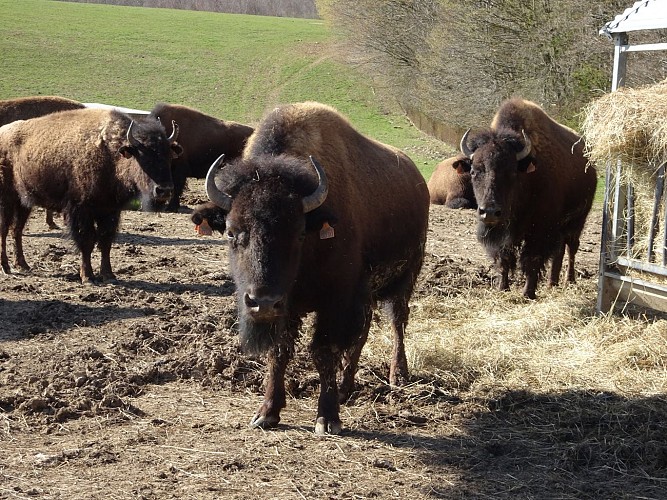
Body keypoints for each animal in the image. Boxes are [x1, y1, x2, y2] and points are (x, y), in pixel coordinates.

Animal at [205, 102, 430, 434]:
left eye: (299, 232)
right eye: (232, 232)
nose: (262, 302)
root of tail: (419, 182)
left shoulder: (336, 301)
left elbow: (324, 352)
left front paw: (327, 419)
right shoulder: (291, 308)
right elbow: (279, 352)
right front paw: (267, 413)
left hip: (404, 277)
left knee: (397, 321)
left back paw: (397, 376)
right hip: (368, 293)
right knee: (363, 334)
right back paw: (347, 389)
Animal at [458, 98, 597, 299]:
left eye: (511, 172)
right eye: (474, 171)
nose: (490, 212)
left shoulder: (540, 229)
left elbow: (532, 259)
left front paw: (528, 293)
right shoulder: (505, 234)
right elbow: (504, 258)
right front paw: (503, 288)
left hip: (577, 221)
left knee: (571, 248)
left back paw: (569, 281)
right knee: (559, 251)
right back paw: (552, 283)